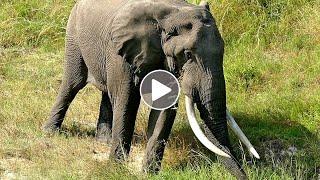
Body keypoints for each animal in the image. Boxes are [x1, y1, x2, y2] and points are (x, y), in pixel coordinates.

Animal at [42, 0, 258, 179]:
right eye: (187, 54)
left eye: (223, 51)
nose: (248, 173)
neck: (171, 13)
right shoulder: (121, 52)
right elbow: (126, 101)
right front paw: (116, 169)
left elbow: (163, 108)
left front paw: (149, 173)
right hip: (74, 35)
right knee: (73, 83)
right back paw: (50, 133)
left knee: (106, 93)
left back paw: (103, 141)